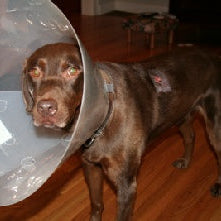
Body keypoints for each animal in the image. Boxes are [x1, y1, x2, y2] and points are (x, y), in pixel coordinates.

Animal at [22, 42, 221, 220]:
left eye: (72, 71)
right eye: (35, 72)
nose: (45, 108)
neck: (104, 118)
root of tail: (213, 56)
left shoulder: (126, 184)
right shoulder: (91, 166)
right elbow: (96, 204)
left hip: (215, 127)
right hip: (180, 113)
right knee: (190, 135)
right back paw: (186, 161)